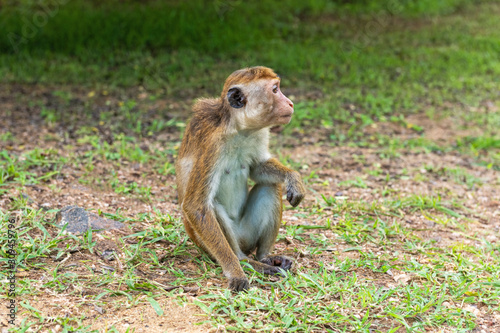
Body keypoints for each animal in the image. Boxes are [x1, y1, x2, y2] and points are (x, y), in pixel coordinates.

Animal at [176, 65, 304, 290]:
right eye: (274, 90)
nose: (290, 102)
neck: (239, 130)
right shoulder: (213, 145)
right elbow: (196, 206)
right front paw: (235, 272)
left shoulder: (260, 133)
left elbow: (258, 168)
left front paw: (293, 178)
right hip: (214, 244)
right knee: (212, 207)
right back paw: (243, 261)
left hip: (248, 234)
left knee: (270, 186)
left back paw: (264, 257)